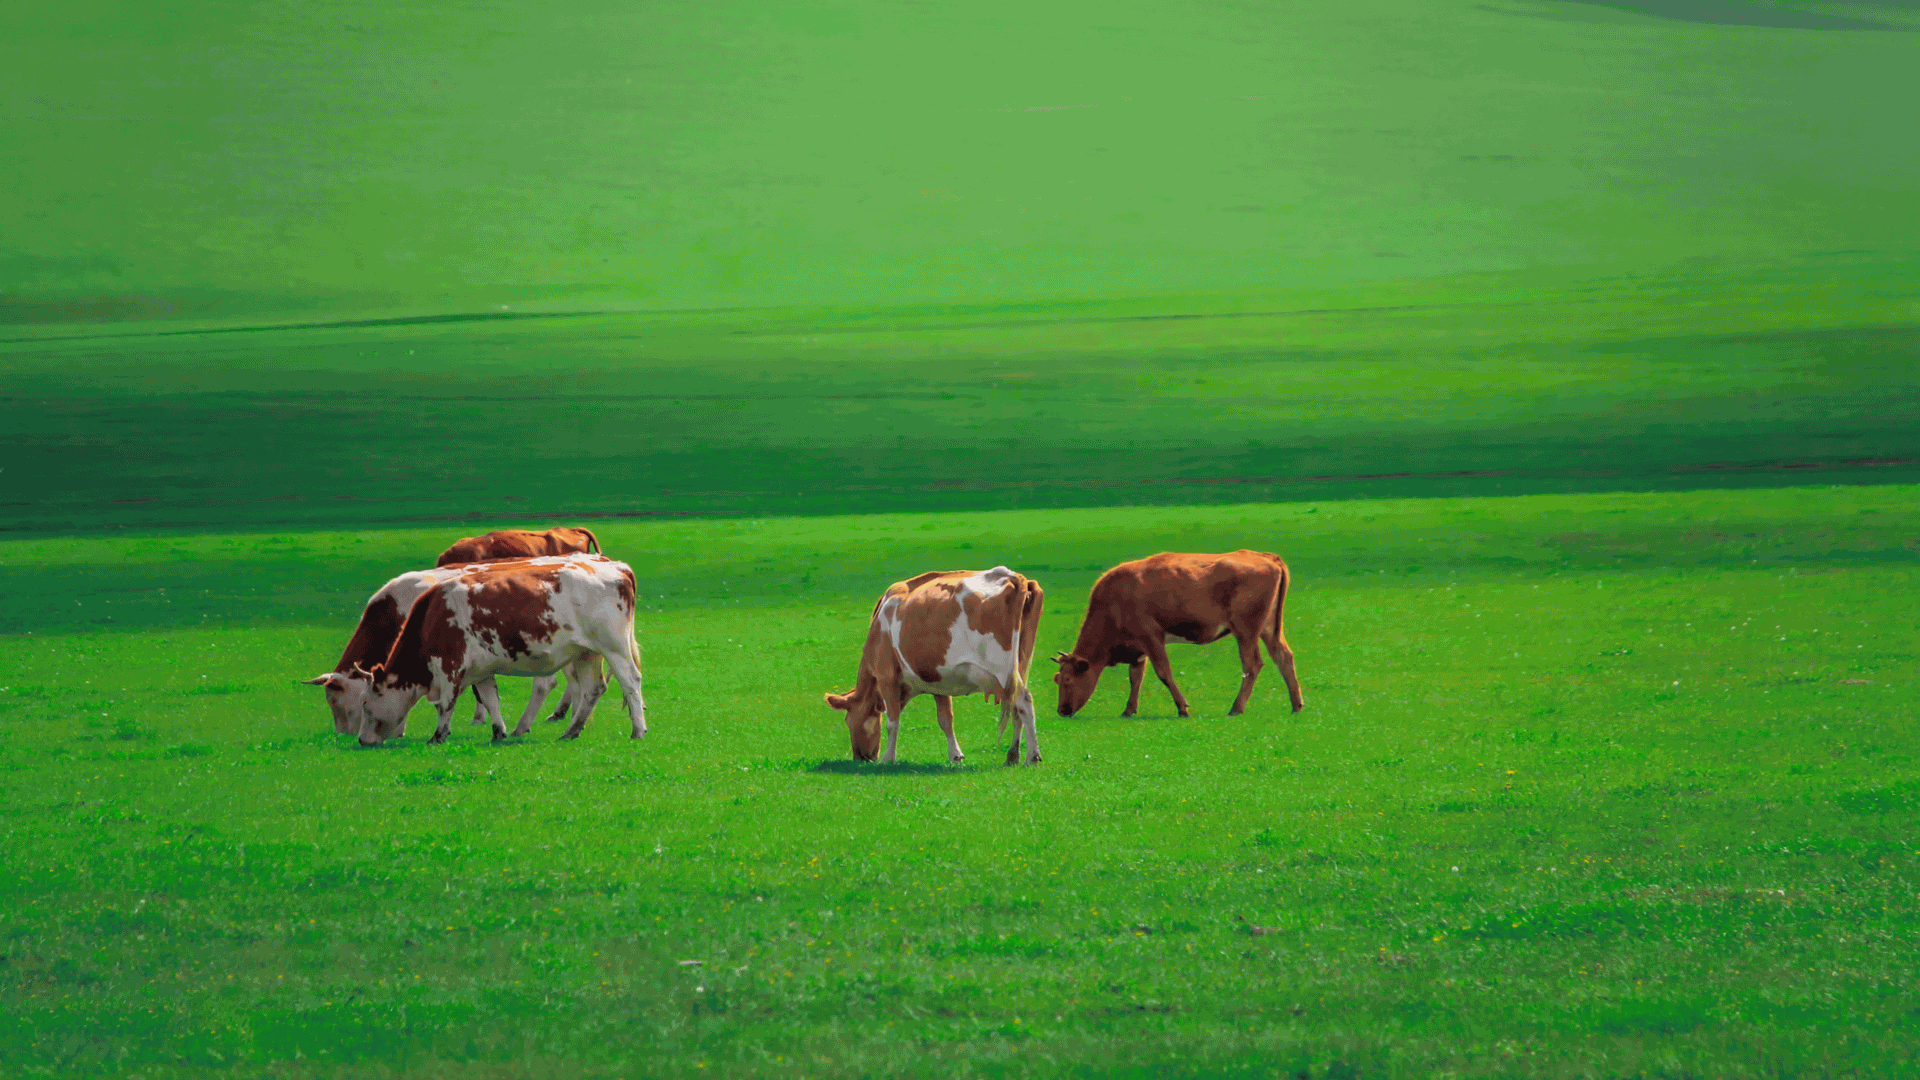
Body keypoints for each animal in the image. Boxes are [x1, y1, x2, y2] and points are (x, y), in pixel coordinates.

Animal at [821, 564, 1044, 764]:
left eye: (848, 721)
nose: (861, 758)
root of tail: (1013, 576)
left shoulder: (887, 677)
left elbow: (893, 722)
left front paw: (887, 758)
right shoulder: (939, 680)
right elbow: (946, 720)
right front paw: (955, 756)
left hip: (1003, 670)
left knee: (1024, 702)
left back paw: (1032, 756)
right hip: (1020, 666)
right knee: (1017, 708)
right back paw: (1012, 756)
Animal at [1052, 549, 1305, 718]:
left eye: (1068, 680)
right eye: (1057, 679)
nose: (1062, 711)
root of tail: (1265, 556)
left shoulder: (1152, 637)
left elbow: (1164, 673)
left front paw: (1182, 708)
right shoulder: (1138, 648)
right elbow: (1135, 678)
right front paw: (1129, 710)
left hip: (1245, 631)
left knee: (1252, 665)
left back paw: (1236, 708)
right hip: (1269, 629)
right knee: (1284, 657)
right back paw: (1296, 705)